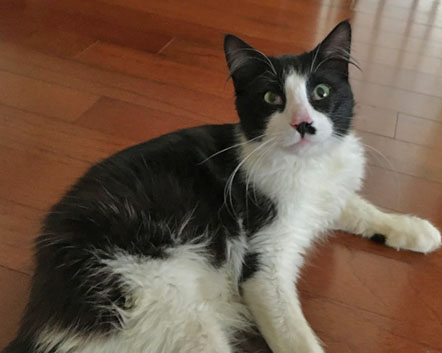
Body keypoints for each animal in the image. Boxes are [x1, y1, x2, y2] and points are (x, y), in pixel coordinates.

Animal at [5, 20, 440, 352]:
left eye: (321, 92)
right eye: (271, 98)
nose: (303, 124)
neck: (307, 166)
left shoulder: (324, 196)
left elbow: (355, 205)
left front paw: (413, 229)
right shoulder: (262, 266)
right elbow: (293, 333)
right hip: (162, 304)